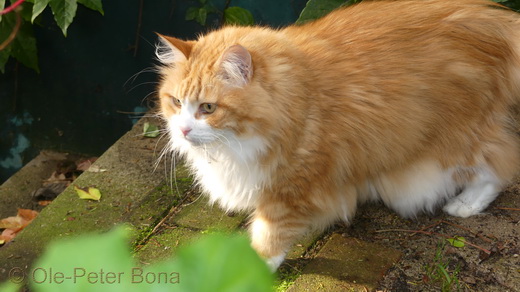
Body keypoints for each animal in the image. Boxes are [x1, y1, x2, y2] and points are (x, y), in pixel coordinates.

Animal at [154, 0, 520, 270]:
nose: (183, 130)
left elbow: (269, 236)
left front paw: (253, 271)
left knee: (500, 166)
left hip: (455, 141)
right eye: (176, 102)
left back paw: (465, 205)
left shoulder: (292, 189)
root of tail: (492, 17)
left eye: (207, 108)